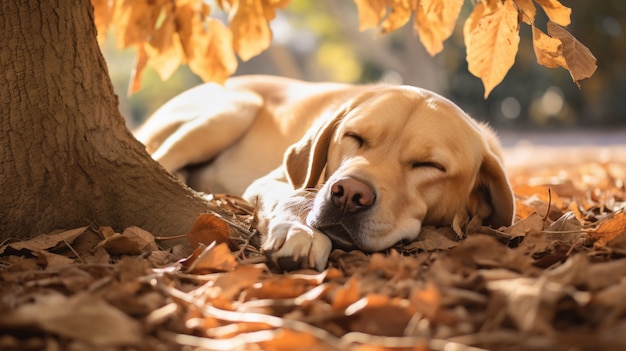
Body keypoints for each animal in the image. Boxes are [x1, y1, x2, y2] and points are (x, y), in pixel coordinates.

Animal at [135, 75, 512, 270]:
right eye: (355, 137)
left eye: (429, 165)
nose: (349, 194)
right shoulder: (271, 180)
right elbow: (298, 195)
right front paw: (300, 232)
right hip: (232, 111)